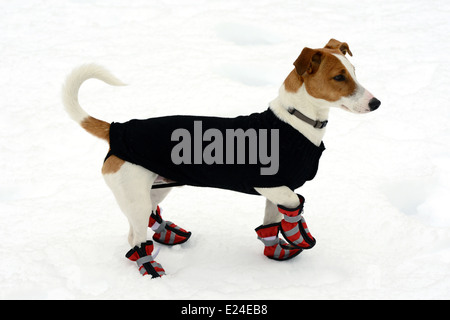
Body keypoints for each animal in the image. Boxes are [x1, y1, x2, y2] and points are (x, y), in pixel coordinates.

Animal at [62, 38, 380, 276]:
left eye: (355, 71)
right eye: (338, 77)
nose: (376, 103)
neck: (294, 122)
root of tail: (117, 129)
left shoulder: (275, 191)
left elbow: (271, 222)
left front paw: (276, 248)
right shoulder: (271, 185)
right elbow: (294, 204)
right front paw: (298, 232)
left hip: (154, 188)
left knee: (140, 223)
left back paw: (167, 234)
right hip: (135, 194)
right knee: (137, 238)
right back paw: (151, 268)